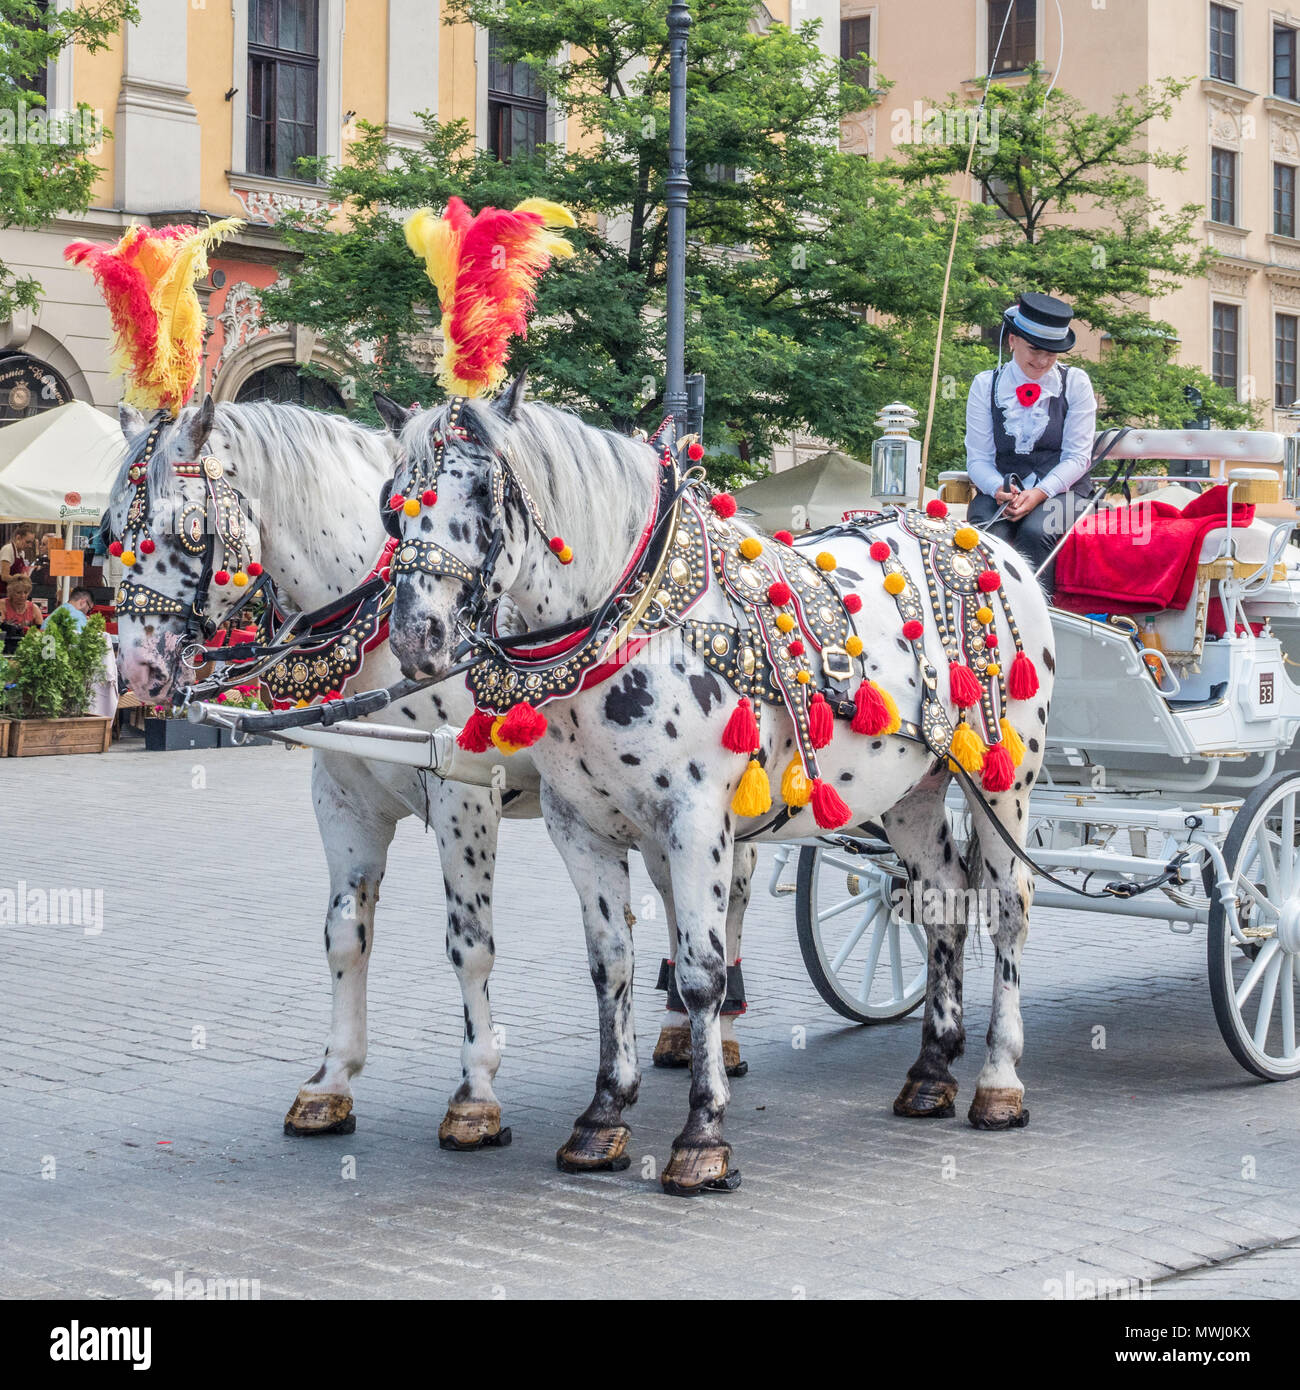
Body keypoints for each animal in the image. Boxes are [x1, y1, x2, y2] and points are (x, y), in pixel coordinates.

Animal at [107, 394, 756, 1150]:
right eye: (107, 533)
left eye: (181, 530)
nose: (138, 670)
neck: (375, 622)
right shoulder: (341, 799)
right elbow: (344, 936)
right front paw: (330, 1081)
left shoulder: (461, 794)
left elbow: (469, 945)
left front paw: (476, 1094)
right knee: (683, 906)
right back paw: (682, 1033)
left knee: (729, 904)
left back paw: (723, 1036)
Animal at [383, 378, 1056, 1195]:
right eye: (392, 502)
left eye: (486, 490)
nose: (416, 634)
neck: (630, 625)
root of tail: (989, 544)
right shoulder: (577, 825)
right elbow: (611, 964)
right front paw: (602, 1117)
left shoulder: (697, 819)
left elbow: (702, 974)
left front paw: (702, 1137)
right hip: (913, 789)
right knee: (940, 896)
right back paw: (931, 1071)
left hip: (1006, 773)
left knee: (1009, 905)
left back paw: (998, 1080)